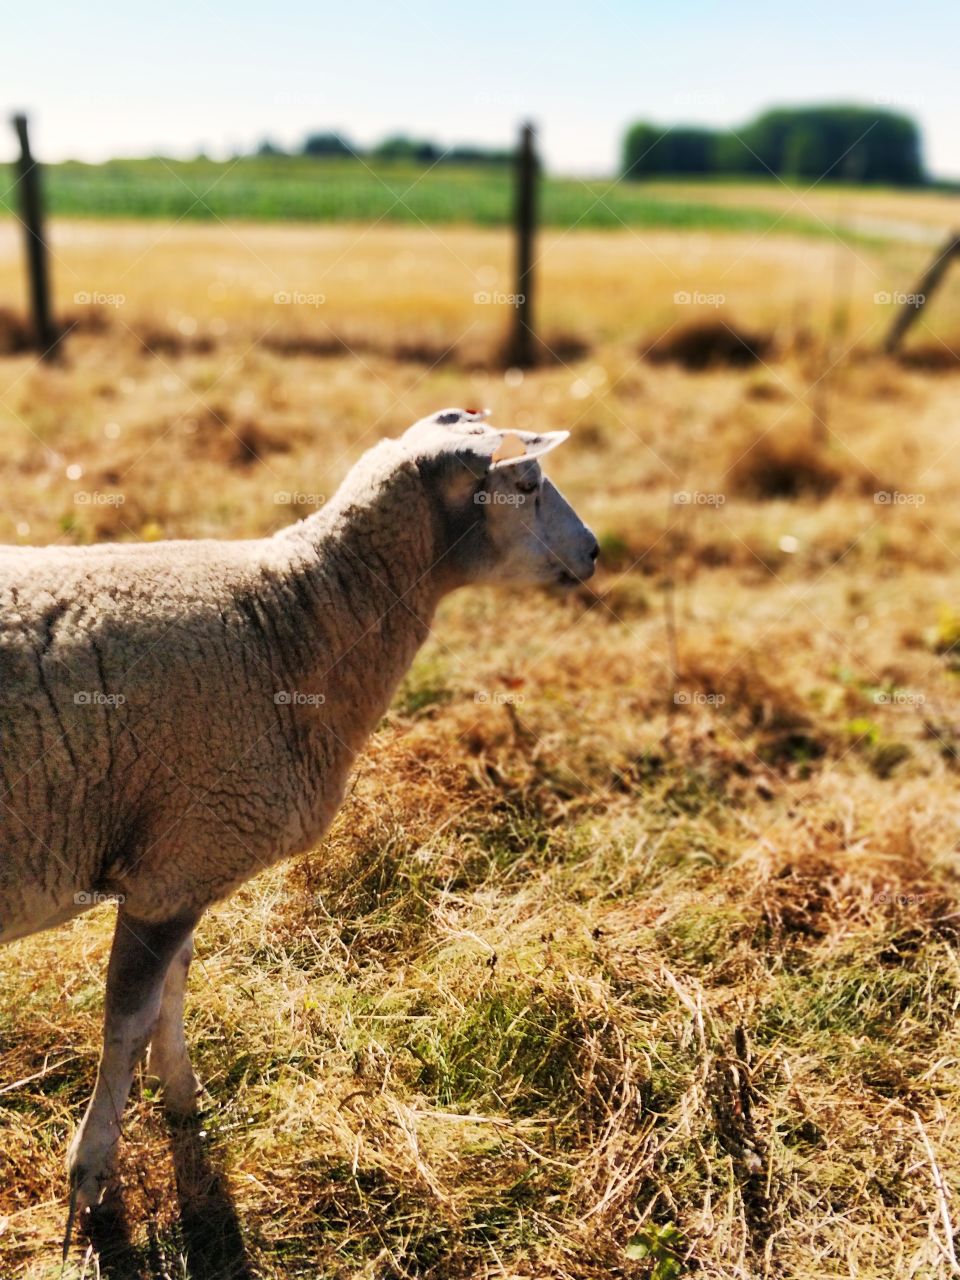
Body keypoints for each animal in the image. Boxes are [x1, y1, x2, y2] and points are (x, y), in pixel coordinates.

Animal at [0, 407, 598, 1225]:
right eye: (529, 484)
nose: (595, 552)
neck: (292, 620)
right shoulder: (182, 851)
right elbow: (125, 1019)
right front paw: (91, 1174)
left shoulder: (185, 860)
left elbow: (171, 992)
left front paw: (181, 1097)